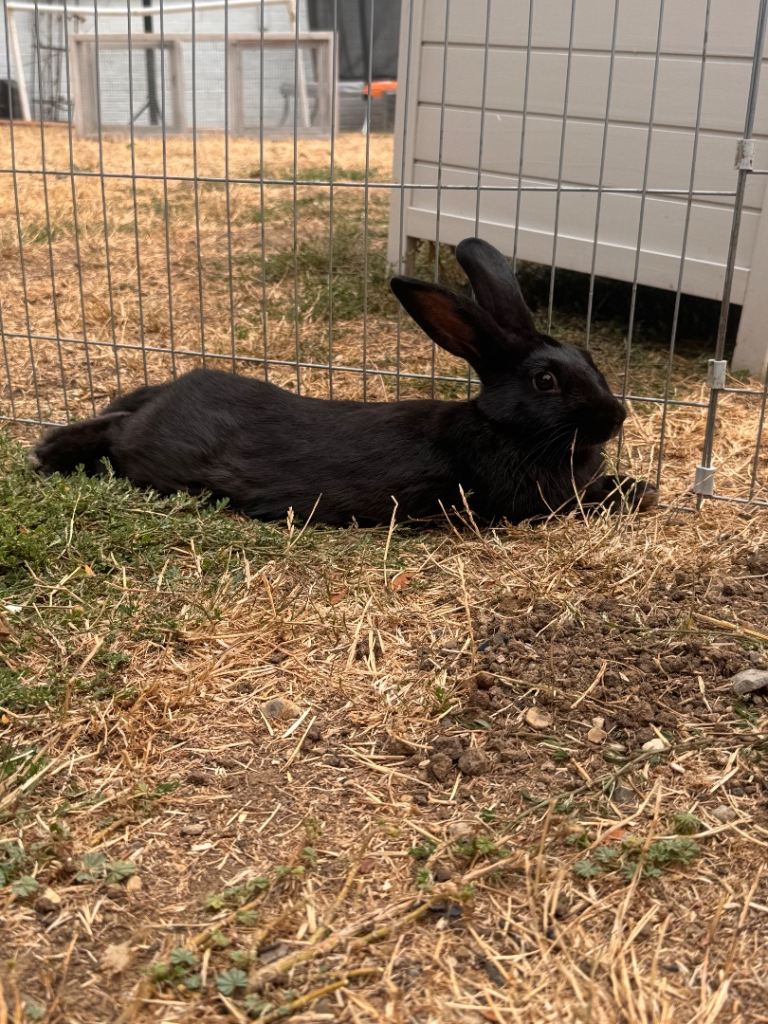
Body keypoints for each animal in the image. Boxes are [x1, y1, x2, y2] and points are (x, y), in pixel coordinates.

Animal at [30, 237, 657, 527]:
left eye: (588, 356)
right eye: (545, 380)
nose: (616, 417)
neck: (504, 429)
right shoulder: (532, 501)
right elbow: (586, 501)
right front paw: (638, 491)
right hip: (158, 456)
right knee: (114, 437)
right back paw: (45, 454)